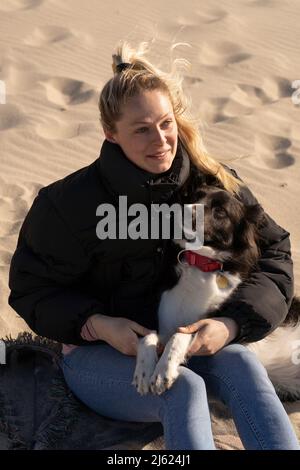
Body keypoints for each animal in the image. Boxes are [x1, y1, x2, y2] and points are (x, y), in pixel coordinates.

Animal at [134, 182, 300, 398]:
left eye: (220, 211)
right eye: (194, 196)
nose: (182, 211)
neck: (200, 262)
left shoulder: (212, 326)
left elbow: (182, 334)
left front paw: (164, 370)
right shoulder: (164, 322)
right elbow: (148, 335)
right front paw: (145, 371)